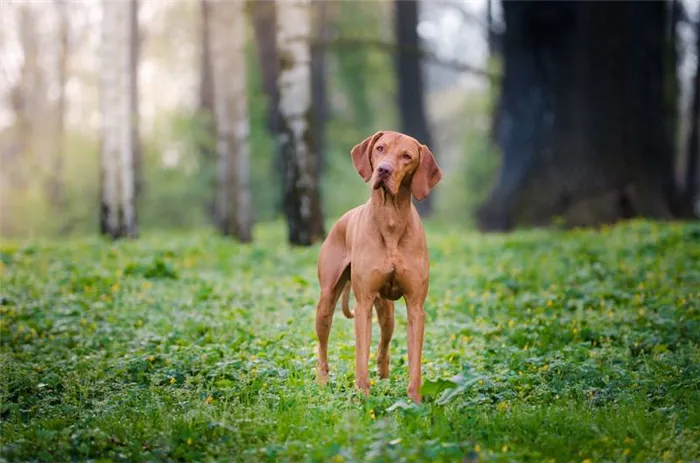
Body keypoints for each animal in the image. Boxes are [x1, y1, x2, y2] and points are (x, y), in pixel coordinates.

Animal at [316, 130, 442, 402]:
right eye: (380, 148)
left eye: (407, 156)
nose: (384, 170)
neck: (391, 217)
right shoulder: (363, 304)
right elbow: (360, 356)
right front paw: (363, 395)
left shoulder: (416, 307)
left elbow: (415, 363)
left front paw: (414, 401)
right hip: (326, 302)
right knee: (322, 346)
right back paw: (321, 381)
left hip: (387, 313)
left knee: (384, 345)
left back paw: (384, 377)